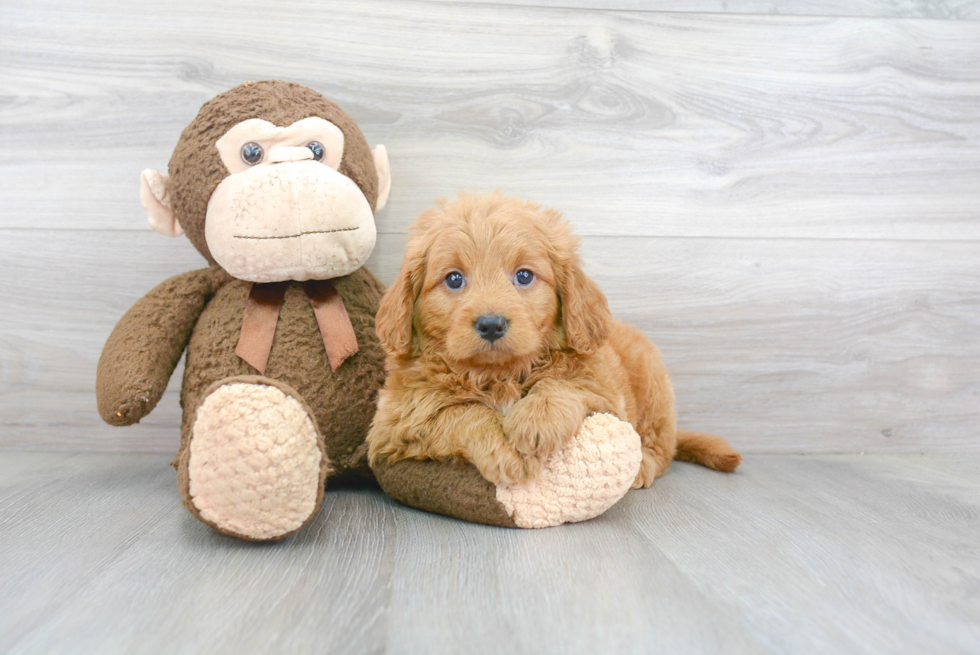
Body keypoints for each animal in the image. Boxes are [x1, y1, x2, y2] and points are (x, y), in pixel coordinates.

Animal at [370, 192, 744, 490]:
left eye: (524, 275)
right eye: (454, 279)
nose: (491, 324)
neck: (499, 375)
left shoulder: (604, 392)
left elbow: (563, 384)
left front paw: (536, 420)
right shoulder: (397, 420)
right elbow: (461, 412)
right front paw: (504, 451)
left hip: (654, 389)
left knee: (660, 447)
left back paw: (642, 468)